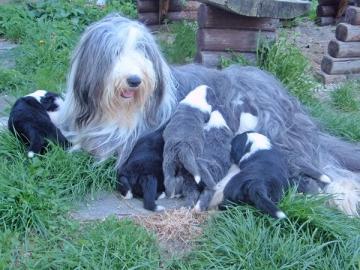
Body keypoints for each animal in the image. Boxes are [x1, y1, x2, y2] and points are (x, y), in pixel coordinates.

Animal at [59, 13, 360, 216]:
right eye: (116, 51)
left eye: (143, 52)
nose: (134, 80)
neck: (121, 110)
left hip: (275, 131)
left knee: (324, 168)